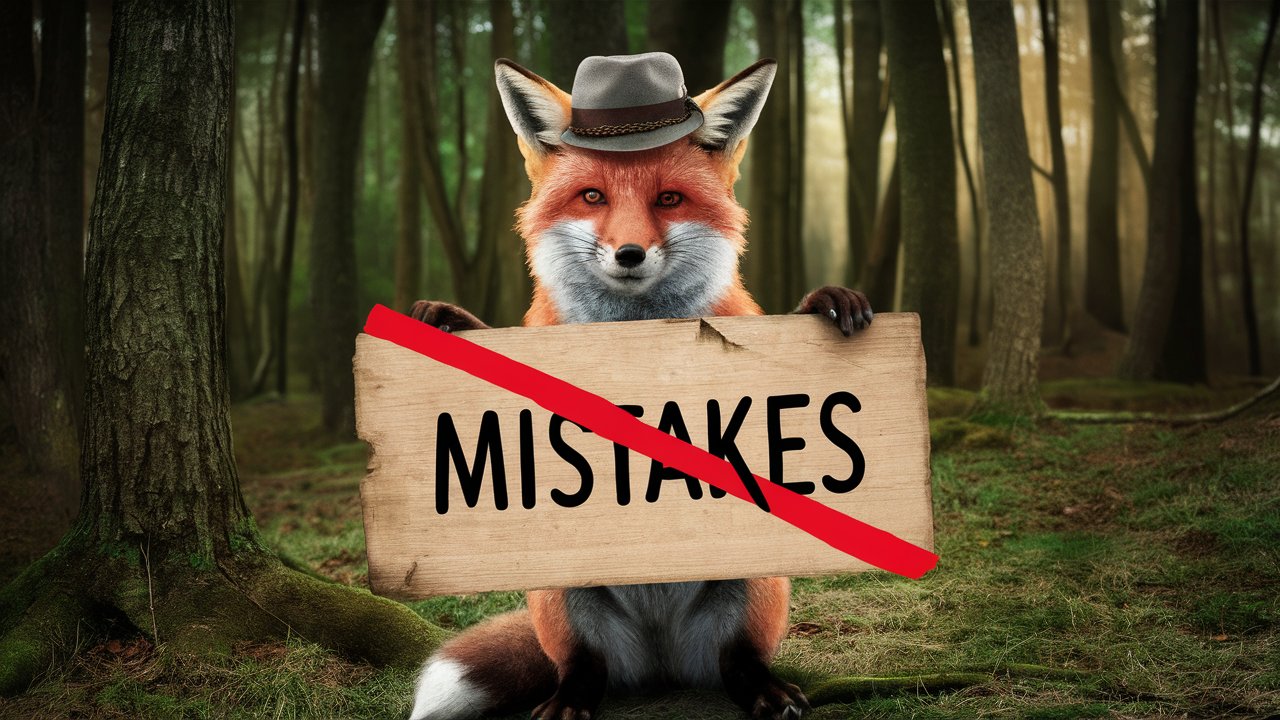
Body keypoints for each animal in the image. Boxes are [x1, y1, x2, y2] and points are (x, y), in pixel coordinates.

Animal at [406, 55, 874, 720]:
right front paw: (449, 322)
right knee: (581, 667)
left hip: (754, 586)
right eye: (592, 196)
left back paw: (763, 689)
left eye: (669, 199)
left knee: (739, 661)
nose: (629, 253)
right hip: (563, 594)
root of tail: (660, 662)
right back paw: (569, 699)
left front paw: (824, 302)